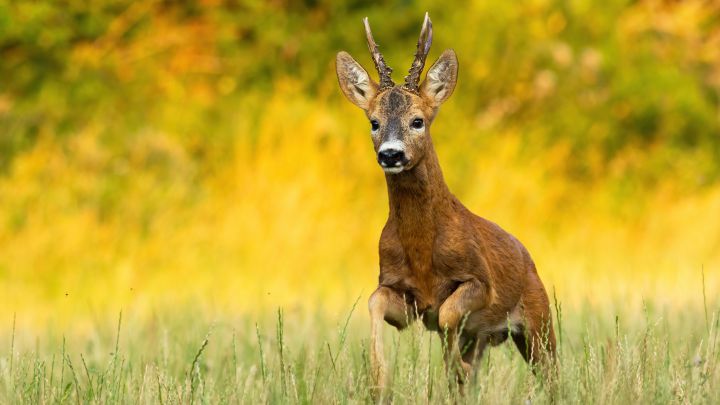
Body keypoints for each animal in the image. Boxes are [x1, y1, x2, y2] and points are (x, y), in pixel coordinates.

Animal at [336, 14, 556, 390]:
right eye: (374, 122)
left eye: (418, 120)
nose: (390, 154)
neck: (423, 251)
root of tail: (527, 256)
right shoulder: (402, 294)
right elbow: (375, 302)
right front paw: (379, 380)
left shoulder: (479, 281)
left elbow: (448, 312)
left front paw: (457, 368)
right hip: (488, 336)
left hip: (539, 319)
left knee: (553, 373)